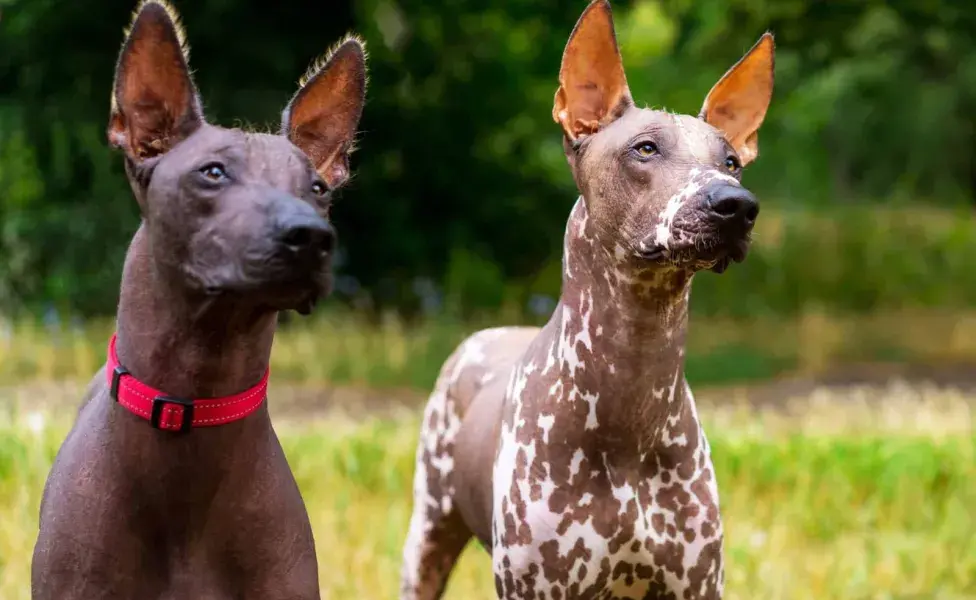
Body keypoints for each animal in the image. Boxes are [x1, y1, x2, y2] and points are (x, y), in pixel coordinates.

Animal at [400, 2, 772, 596]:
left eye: (731, 161)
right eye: (645, 148)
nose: (736, 205)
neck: (632, 400)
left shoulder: (696, 583)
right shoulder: (537, 584)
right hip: (428, 537)